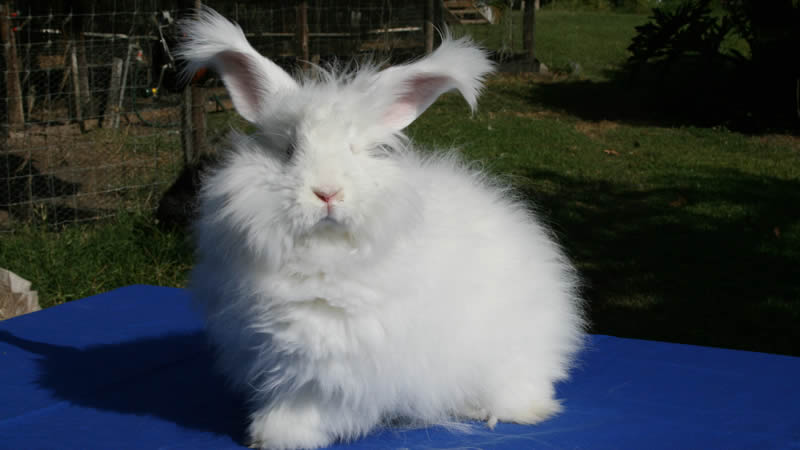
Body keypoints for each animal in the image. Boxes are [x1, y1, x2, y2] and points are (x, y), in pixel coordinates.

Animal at [181, 8, 586, 450]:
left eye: (355, 150)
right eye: (288, 150)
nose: (327, 193)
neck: (322, 253)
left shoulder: (337, 365)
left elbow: (313, 403)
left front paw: (281, 435)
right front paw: (270, 435)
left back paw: (509, 412)